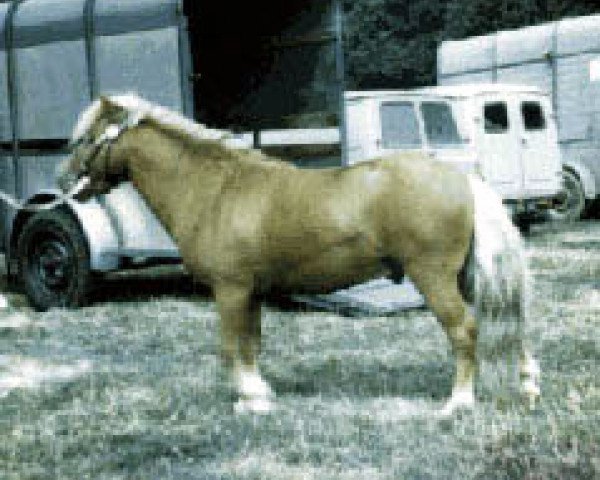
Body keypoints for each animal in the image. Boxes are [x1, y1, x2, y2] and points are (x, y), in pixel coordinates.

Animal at [58, 94, 540, 416]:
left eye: (87, 137)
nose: (64, 182)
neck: (215, 190)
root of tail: (460, 178)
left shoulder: (230, 290)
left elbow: (230, 345)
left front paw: (249, 399)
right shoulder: (250, 292)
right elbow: (251, 343)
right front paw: (260, 393)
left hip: (434, 277)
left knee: (464, 330)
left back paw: (458, 403)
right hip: (464, 276)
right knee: (505, 318)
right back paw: (528, 385)